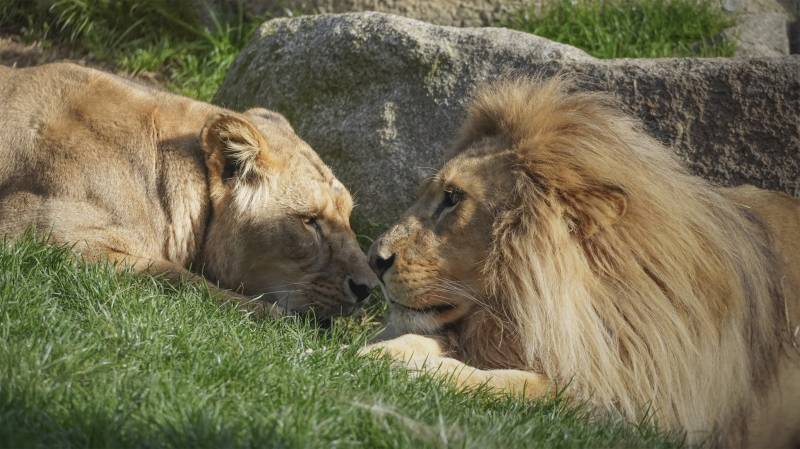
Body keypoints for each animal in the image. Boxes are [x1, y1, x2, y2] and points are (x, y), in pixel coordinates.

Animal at [364, 78, 800, 448]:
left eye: (453, 198)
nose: (373, 260)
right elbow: (435, 339)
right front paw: (380, 353)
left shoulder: (646, 408)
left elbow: (517, 385)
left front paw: (416, 371)